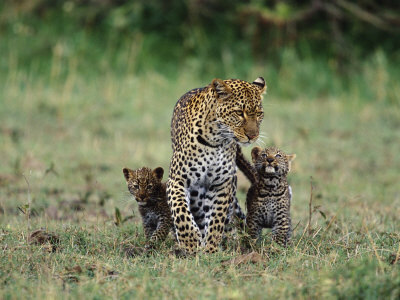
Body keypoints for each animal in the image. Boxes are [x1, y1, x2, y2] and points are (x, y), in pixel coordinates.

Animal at [167, 77, 268, 253]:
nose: (253, 136)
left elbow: (216, 219)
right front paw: (190, 243)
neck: (216, 140)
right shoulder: (177, 180)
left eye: (259, 114)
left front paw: (211, 249)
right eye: (239, 113)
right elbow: (181, 212)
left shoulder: (222, 184)